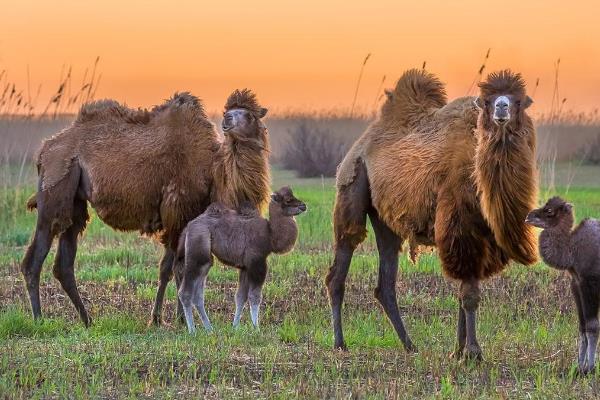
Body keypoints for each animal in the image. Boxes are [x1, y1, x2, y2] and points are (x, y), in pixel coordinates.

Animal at [21, 89, 270, 326]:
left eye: (249, 114)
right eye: (229, 110)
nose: (227, 119)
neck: (212, 174)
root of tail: (44, 150)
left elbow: (170, 268)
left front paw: (167, 317)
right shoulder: (178, 214)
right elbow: (176, 268)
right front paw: (173, 319)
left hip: (75, 201)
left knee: (64, 262)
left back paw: (87, 320)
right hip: (55, 187)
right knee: (35, 257)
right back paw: (39, 319)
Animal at [173, 186, 304, 332]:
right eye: (288, 200)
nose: (303, 206)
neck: (270, 235)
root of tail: (187, 228)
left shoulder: (245, 267)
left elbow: (240, 297)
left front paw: (235, 327)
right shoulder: (257, 262)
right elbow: (254, 296)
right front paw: (256, 328)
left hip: (205, 260)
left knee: (198, 294)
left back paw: (209, 329)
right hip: (197, 251)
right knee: (185, 292)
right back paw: (192, 331)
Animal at [328, 69, 540, 360]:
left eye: (519, 101)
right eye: (487, 101)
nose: (501, 108)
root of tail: (358, 147)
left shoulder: (481, 235)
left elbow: (464, 291)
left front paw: (458, 350)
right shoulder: (460, 227)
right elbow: (469, 295)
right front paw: (473, 353)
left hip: (385, 221)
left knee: (385, 279)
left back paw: (409, 345)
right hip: (352, 185)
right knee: (341, 262)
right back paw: (340, 343)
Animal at [524, 198, 600, 376]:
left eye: (549, 211)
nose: (528, 216)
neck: (572, 250)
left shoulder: (590, 282)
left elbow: (592, 326)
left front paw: (590, 369)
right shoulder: (576, 284)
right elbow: (582, 326)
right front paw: (579, 367)